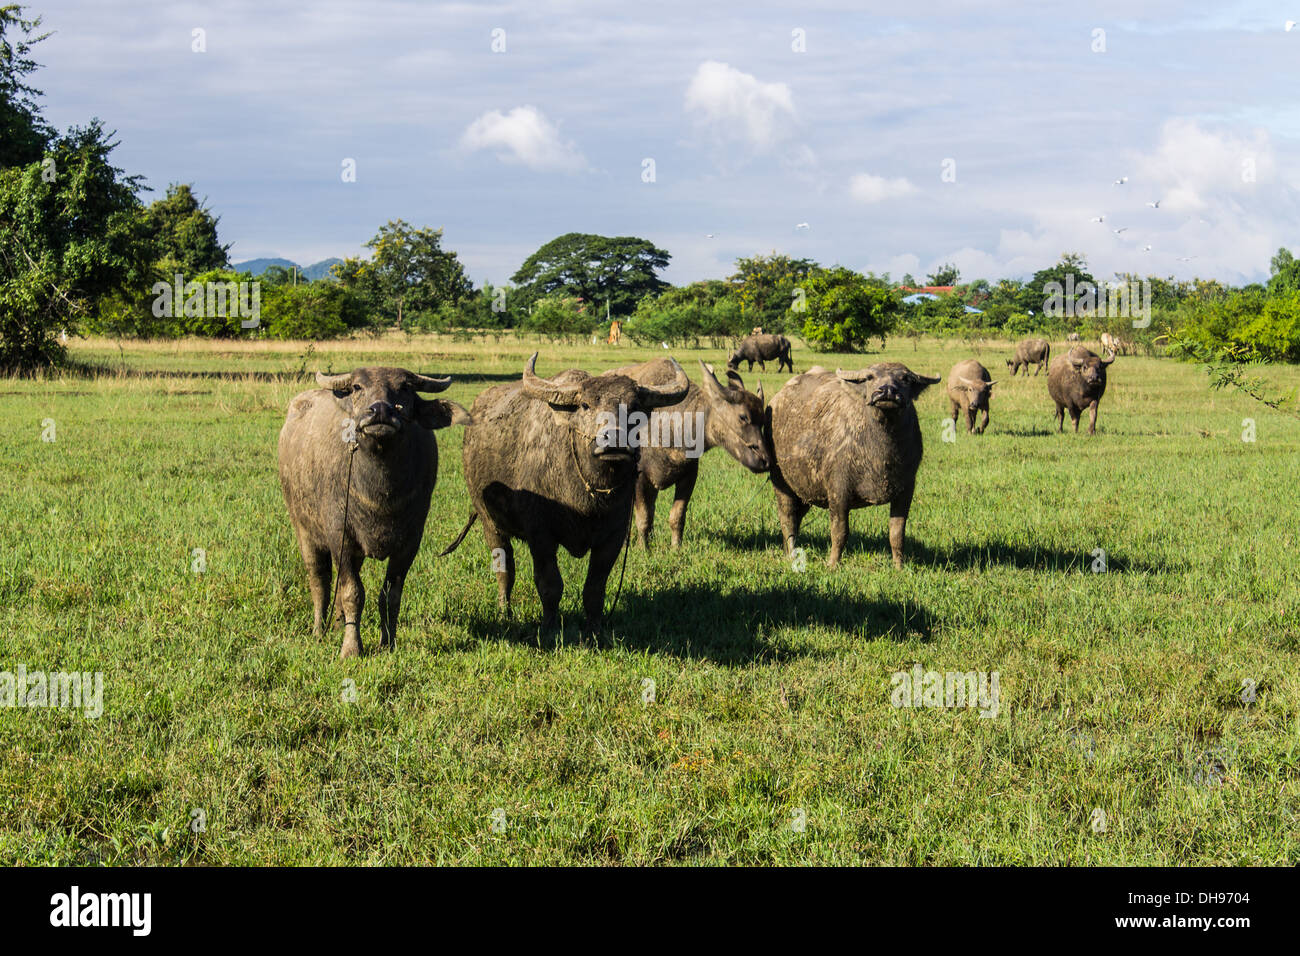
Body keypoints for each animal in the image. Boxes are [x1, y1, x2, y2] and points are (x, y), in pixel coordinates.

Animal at [279, 366, 473, 658]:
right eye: (357, 387)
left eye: (405, 387)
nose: (380, 410)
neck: (379, 491)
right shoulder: (340, 537)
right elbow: (352, 593)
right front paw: (351, 647)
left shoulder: (409, 543)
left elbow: (390, 595)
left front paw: (387, 642)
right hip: (303, 529)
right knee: (319, 580)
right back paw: (319, 630)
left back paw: (338, 624)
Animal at [447, 351, 691, 629]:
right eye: (585, 405)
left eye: (634, 408)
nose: (613, 441)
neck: (588, 497)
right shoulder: (540, 535)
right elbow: (550, 585)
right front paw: (549, 626)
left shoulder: (614, 535)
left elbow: (595, 589)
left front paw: (595, 629)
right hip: (490, 522)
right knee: (505, 570)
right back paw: (503, 612)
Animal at [611, 358, 764, 548]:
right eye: (743, 417)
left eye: (763, 420)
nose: (765, 460)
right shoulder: (639, 479)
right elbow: (642, 518)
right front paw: (643, 548)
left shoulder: (689, 476)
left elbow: (677, 516)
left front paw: (676, 547)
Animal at [764, 361, 941, 567]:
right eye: (870, 377)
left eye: (905, 378)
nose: (887, 391)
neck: (882, 455)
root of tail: (776, 400)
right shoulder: (838, 491)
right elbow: (840, 531)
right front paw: (832, 564)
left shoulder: (905, 491)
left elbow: (897, 533)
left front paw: (899, 566)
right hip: (781, 482)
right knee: (787, 518)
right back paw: (792, 554)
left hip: (804, 490)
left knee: (797, 517)